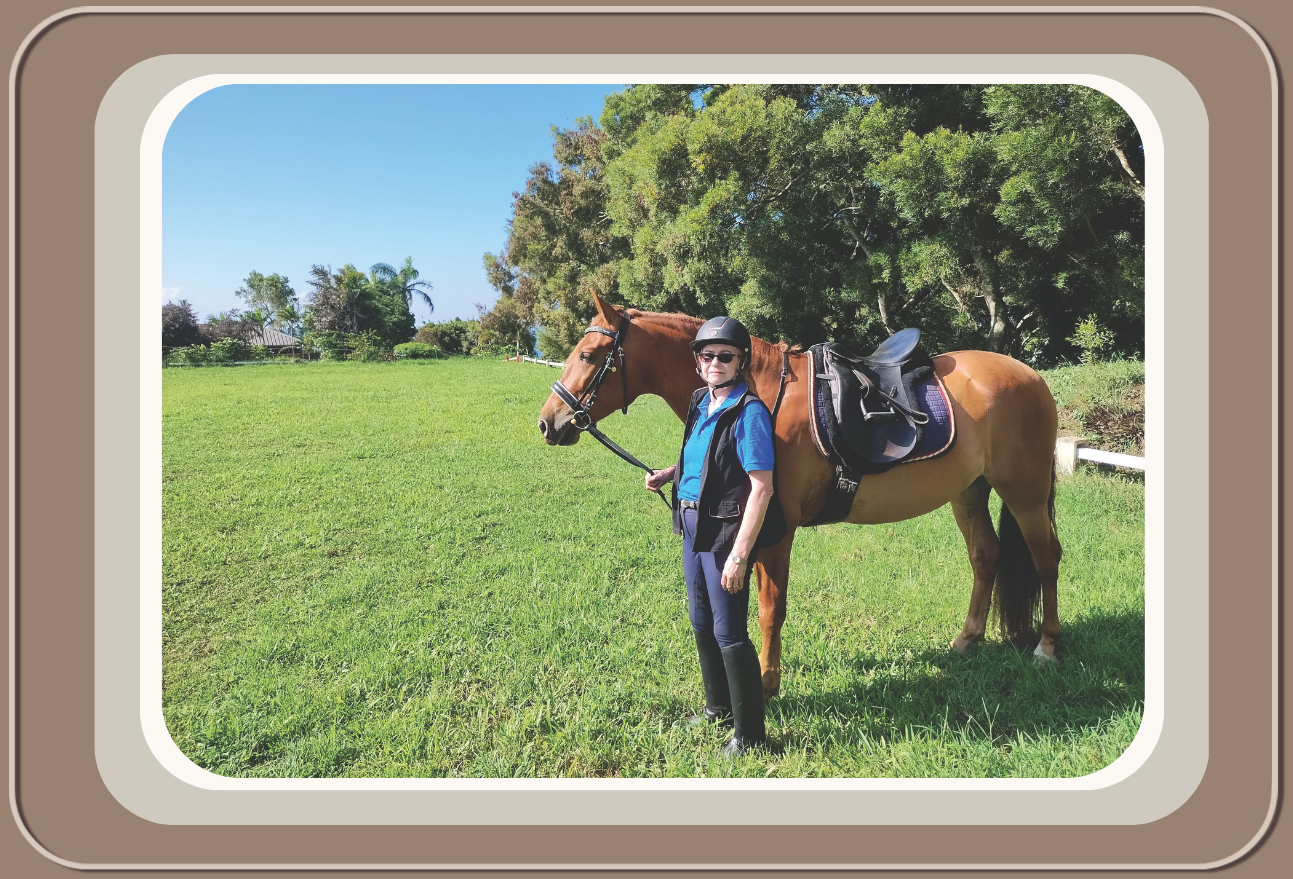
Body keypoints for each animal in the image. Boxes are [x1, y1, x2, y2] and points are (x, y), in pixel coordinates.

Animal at [537, 292, 1061, 699]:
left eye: (588, 355)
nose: (548, 423)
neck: (758, 392)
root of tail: (1033, 377)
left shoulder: (775, 529)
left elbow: (771, 608)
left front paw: (767, 685)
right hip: (969, 491)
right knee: (986, 555)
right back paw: (967, 640)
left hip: (1024, 492)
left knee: (1046, 558)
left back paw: (1047, 647)